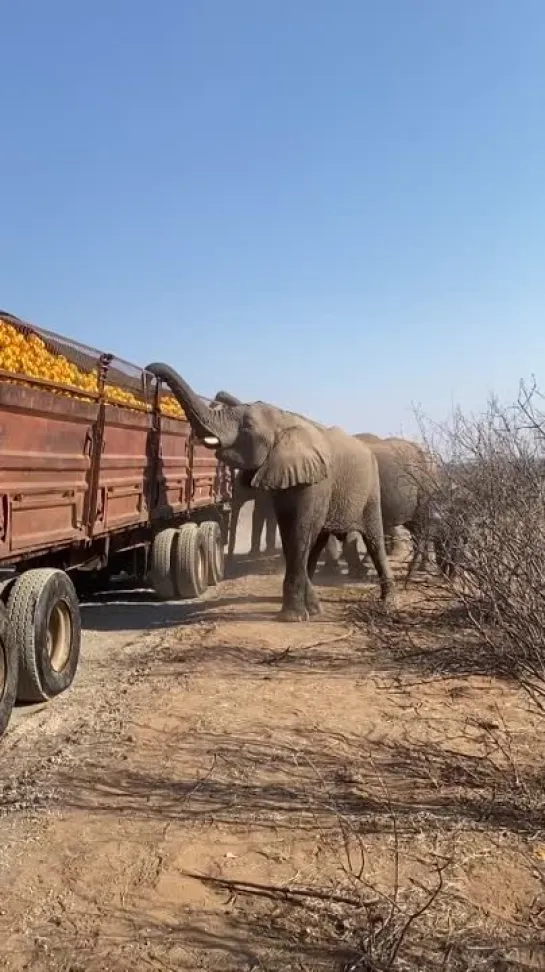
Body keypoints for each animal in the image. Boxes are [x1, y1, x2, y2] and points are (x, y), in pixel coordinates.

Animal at [143, 360, 396, 620]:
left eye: (246, 427)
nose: (150, 369)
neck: (284, 419)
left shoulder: (316, 480)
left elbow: (301, 530)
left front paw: (292, 617)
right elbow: (289, 529)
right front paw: (303, 612)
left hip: (371, 489)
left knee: (372, 539)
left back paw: (387, 601)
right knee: (318, 539)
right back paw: (317, 605)